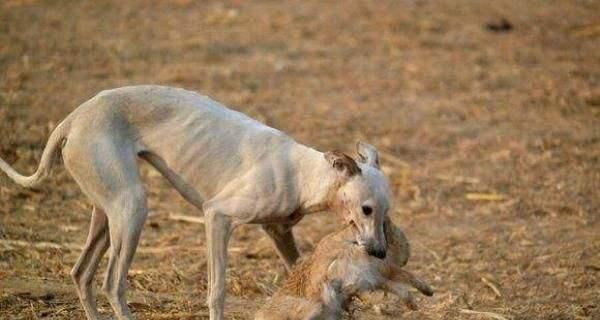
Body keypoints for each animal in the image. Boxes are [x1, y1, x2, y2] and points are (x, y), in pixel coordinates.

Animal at [1, 85, 394, 320]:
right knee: (112, 283)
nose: (379, 253)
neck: (305, 173)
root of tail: (73, 119)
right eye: (366, 209)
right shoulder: (217, 217)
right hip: (131, 209)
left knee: (81, 273)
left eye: (386, 215)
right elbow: (217, 290)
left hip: (107, 212)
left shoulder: (279, 231)